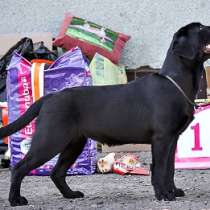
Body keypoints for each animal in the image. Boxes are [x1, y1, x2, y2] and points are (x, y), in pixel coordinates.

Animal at [0, 22, 210, 206]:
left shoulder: (172, 139)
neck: (175, 82)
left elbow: (170, 169)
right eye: (200, 28)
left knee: (57, 173)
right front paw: (164, 195)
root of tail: (49, 97)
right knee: (19, 168)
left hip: (73, 143)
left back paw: (71, 194)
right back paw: (16, 200)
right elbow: (159, 169)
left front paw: (173, 191)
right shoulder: (161, 138)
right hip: (50, 140)